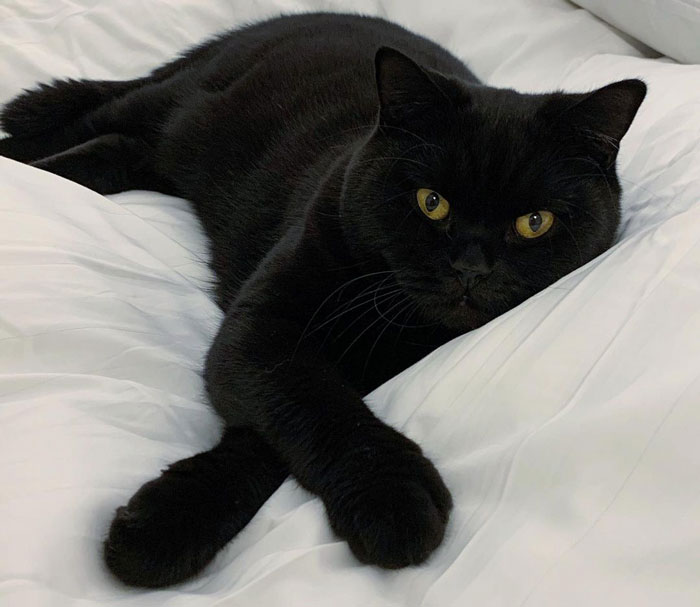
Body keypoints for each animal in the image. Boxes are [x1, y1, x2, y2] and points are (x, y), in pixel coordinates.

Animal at [0, 10, 644, 588]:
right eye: (430, 201)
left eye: (534, 222)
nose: (471, 269)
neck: (403, 332)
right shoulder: (262, 328)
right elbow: (318, 405)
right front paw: (396, 500)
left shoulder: (296, 360)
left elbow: (267, 439)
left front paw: (161, 525)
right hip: (179, 101)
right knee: (98, 117)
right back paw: (24, 150)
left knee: (120, 148)